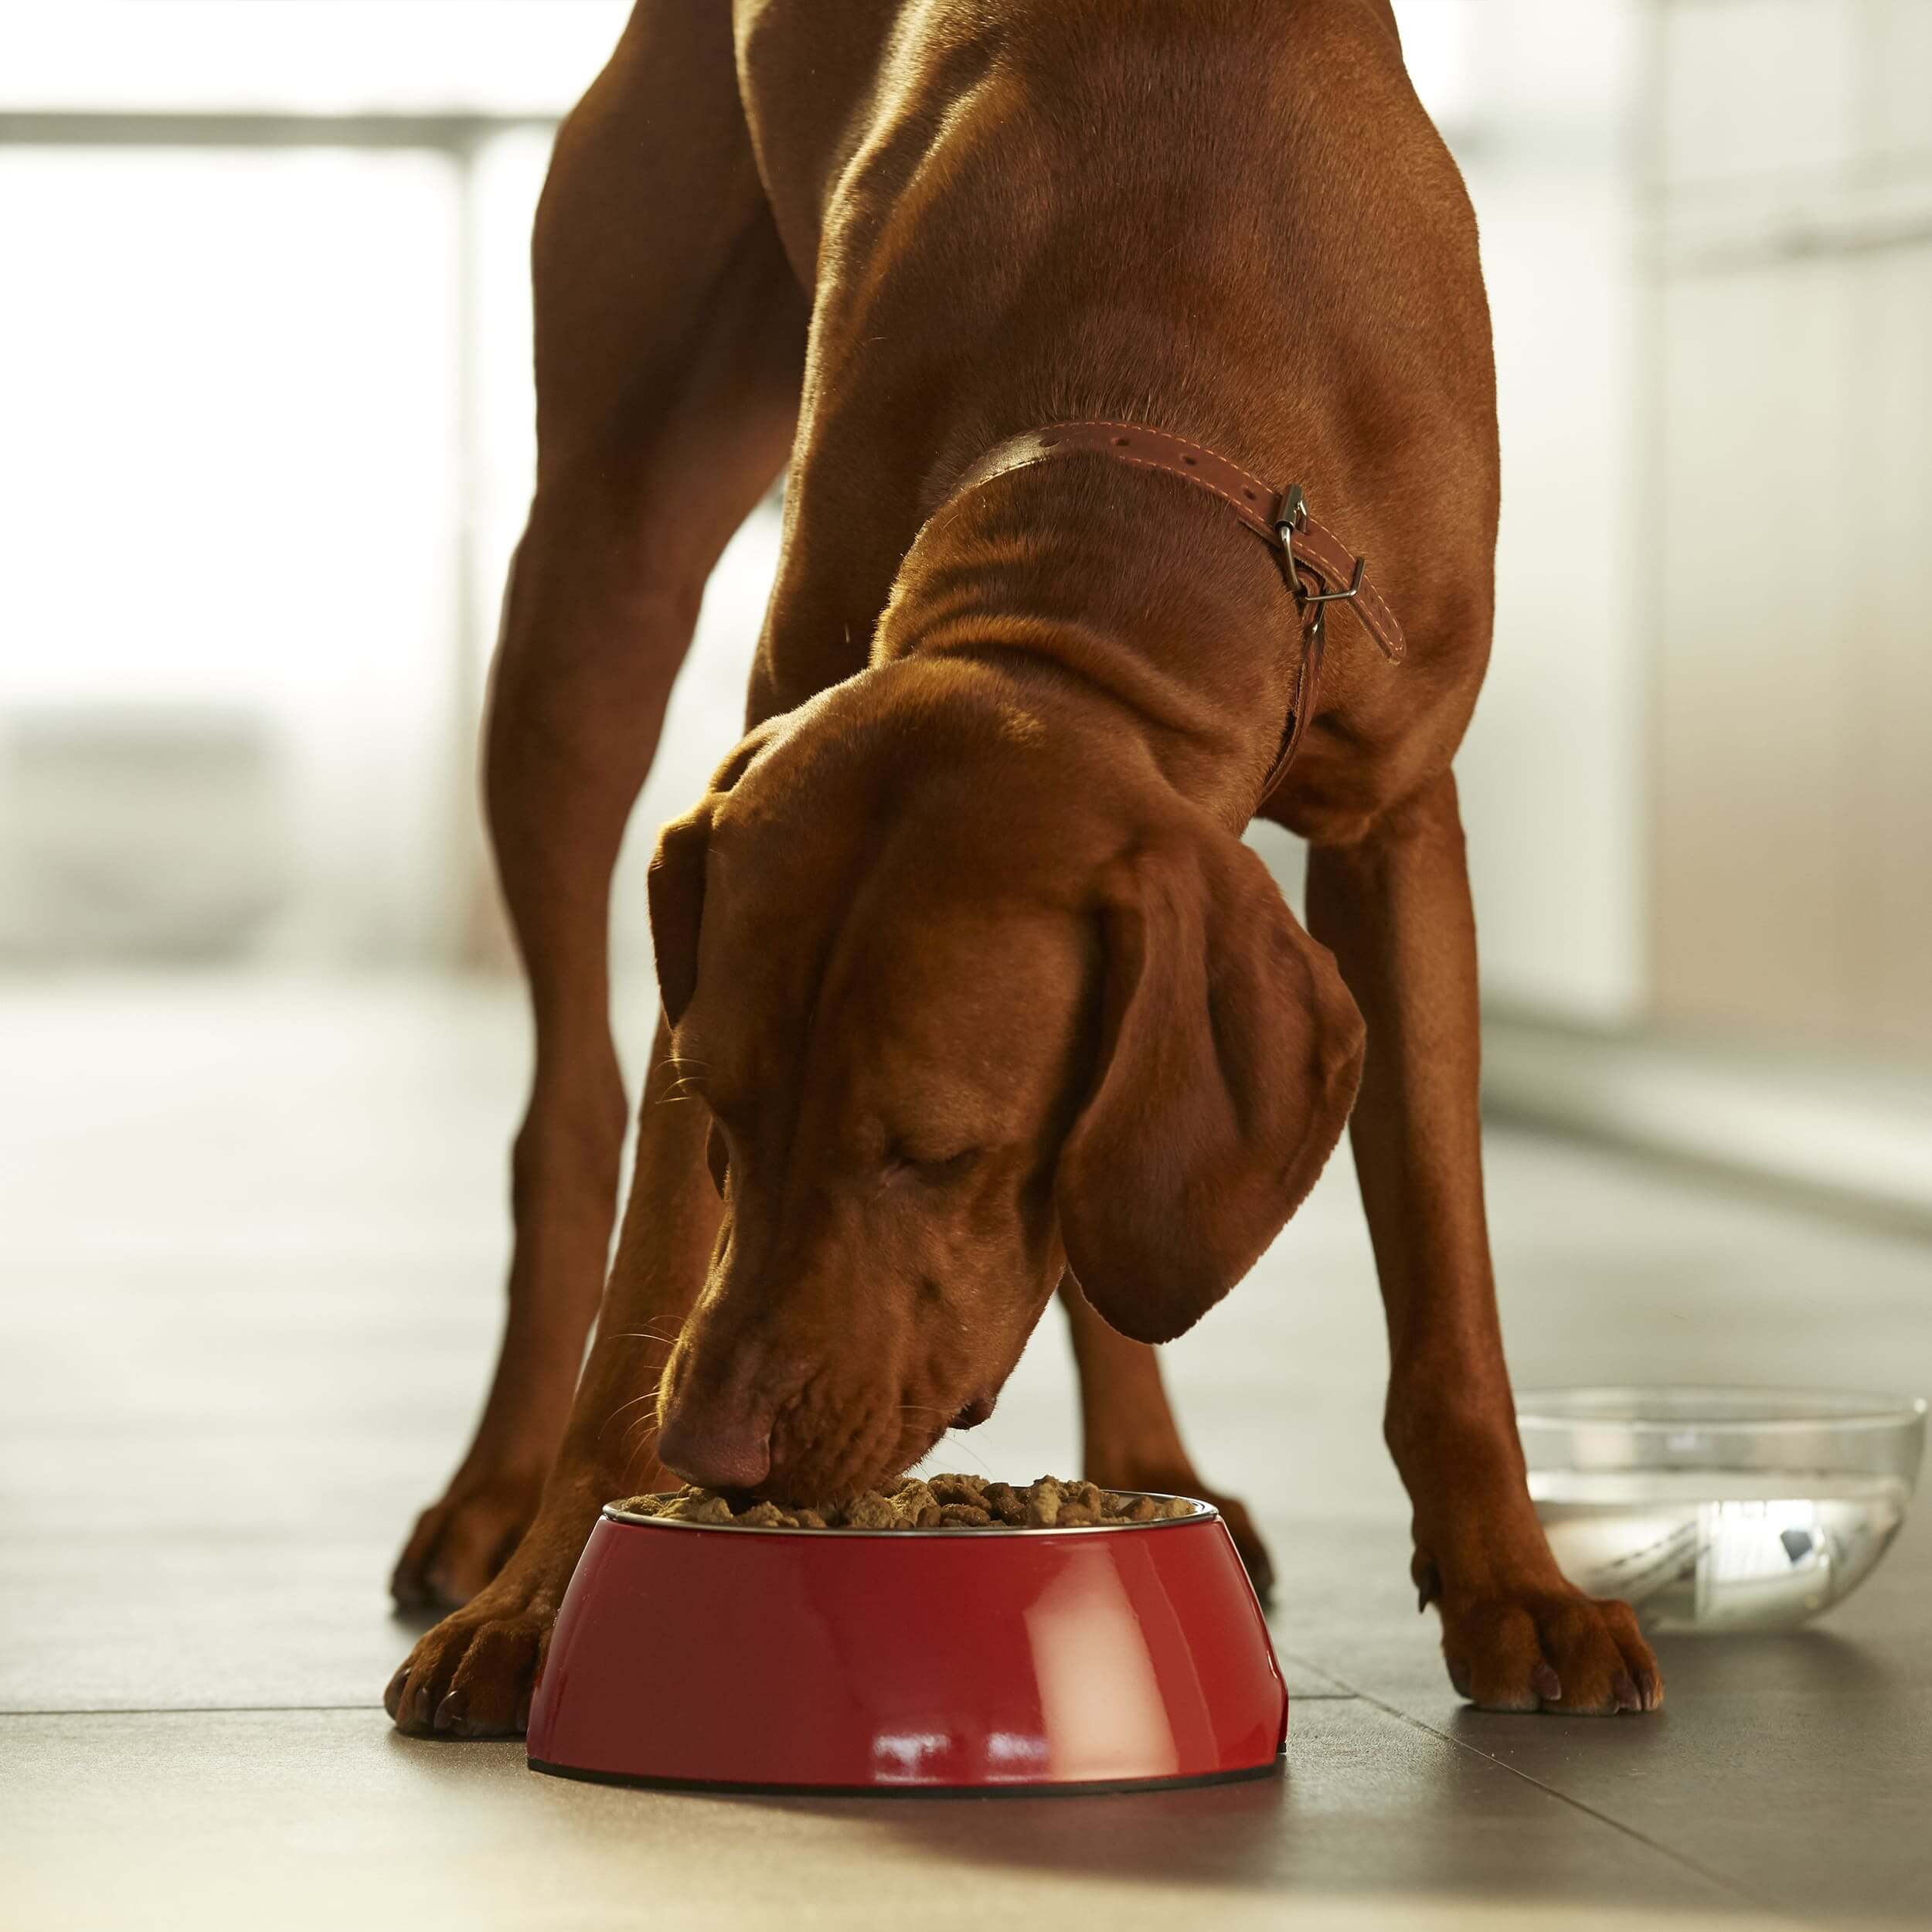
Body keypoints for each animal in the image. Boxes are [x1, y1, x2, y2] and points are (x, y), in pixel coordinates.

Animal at [380, 0, 1662, 1739]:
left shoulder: (1398, 825)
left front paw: (1512, 1585)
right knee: (568, 1112)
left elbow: (1446, 1279)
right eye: (726, 1111)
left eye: (935, 1150)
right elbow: (656, 1248)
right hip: (592, 582)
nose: (717, 1453)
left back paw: (1155, 1461)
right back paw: (490, 1499)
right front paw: (542, 1591)